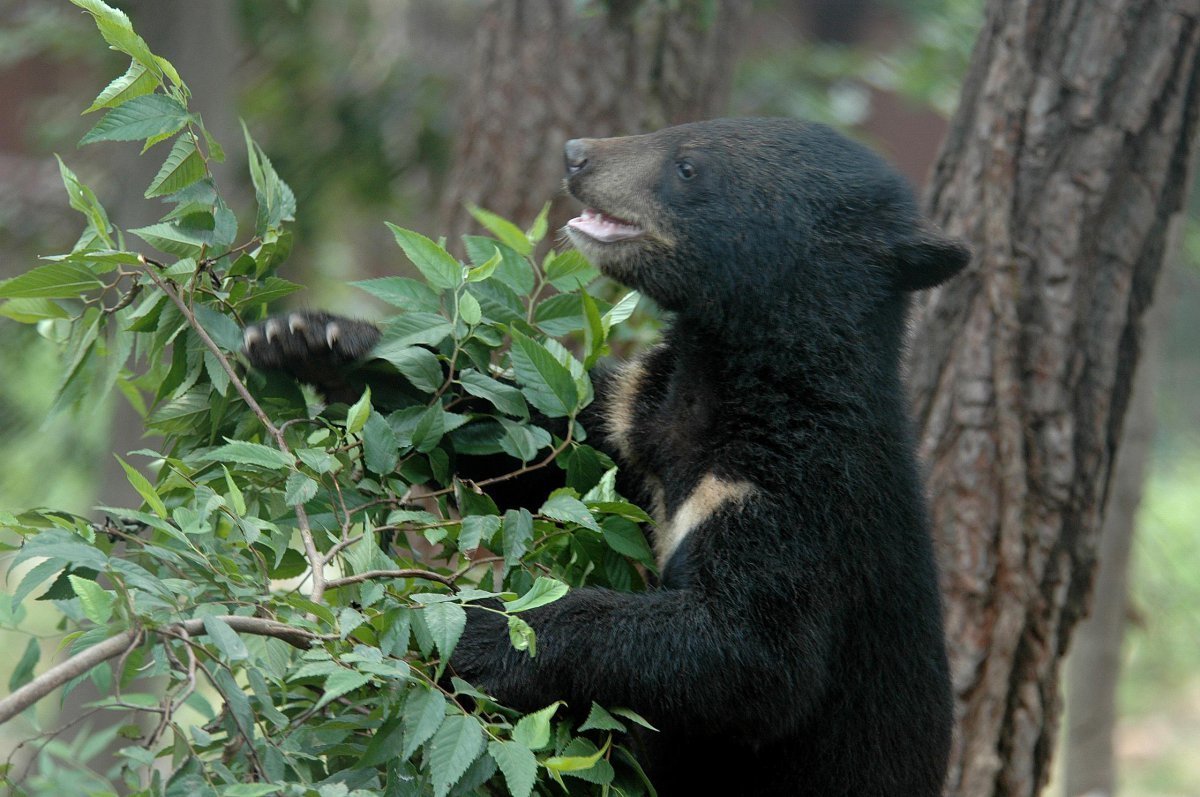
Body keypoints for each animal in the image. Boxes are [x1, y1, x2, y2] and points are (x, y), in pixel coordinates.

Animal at [243, 120, 964, 797]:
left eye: (688, 166)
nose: (575, 154)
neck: (727, 378)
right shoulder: (637, 418)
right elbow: (540, 441)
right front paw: (311, 340)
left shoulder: (793, 493)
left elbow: (752, 655)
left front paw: (477, 630)